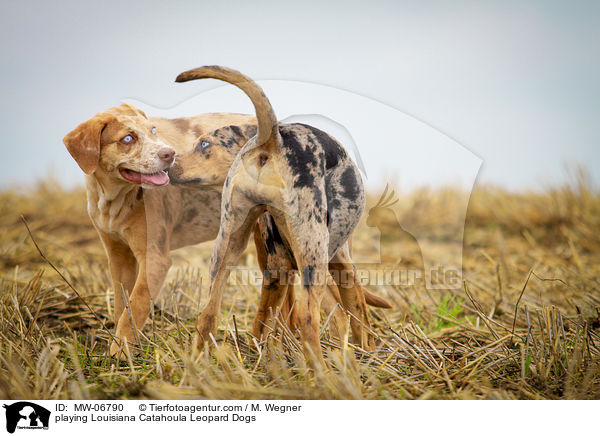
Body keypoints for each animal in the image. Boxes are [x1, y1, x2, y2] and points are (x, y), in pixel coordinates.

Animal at [173, 66, 380, 362]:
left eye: (204, 145)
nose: (169, 160)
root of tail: (271, 138)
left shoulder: (277, 269)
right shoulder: (339, 263)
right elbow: (358, 315)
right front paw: (366, 357)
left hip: (227, 249)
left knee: (209, 314)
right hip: (313, 256)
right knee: (313, 318)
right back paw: (323, 369)